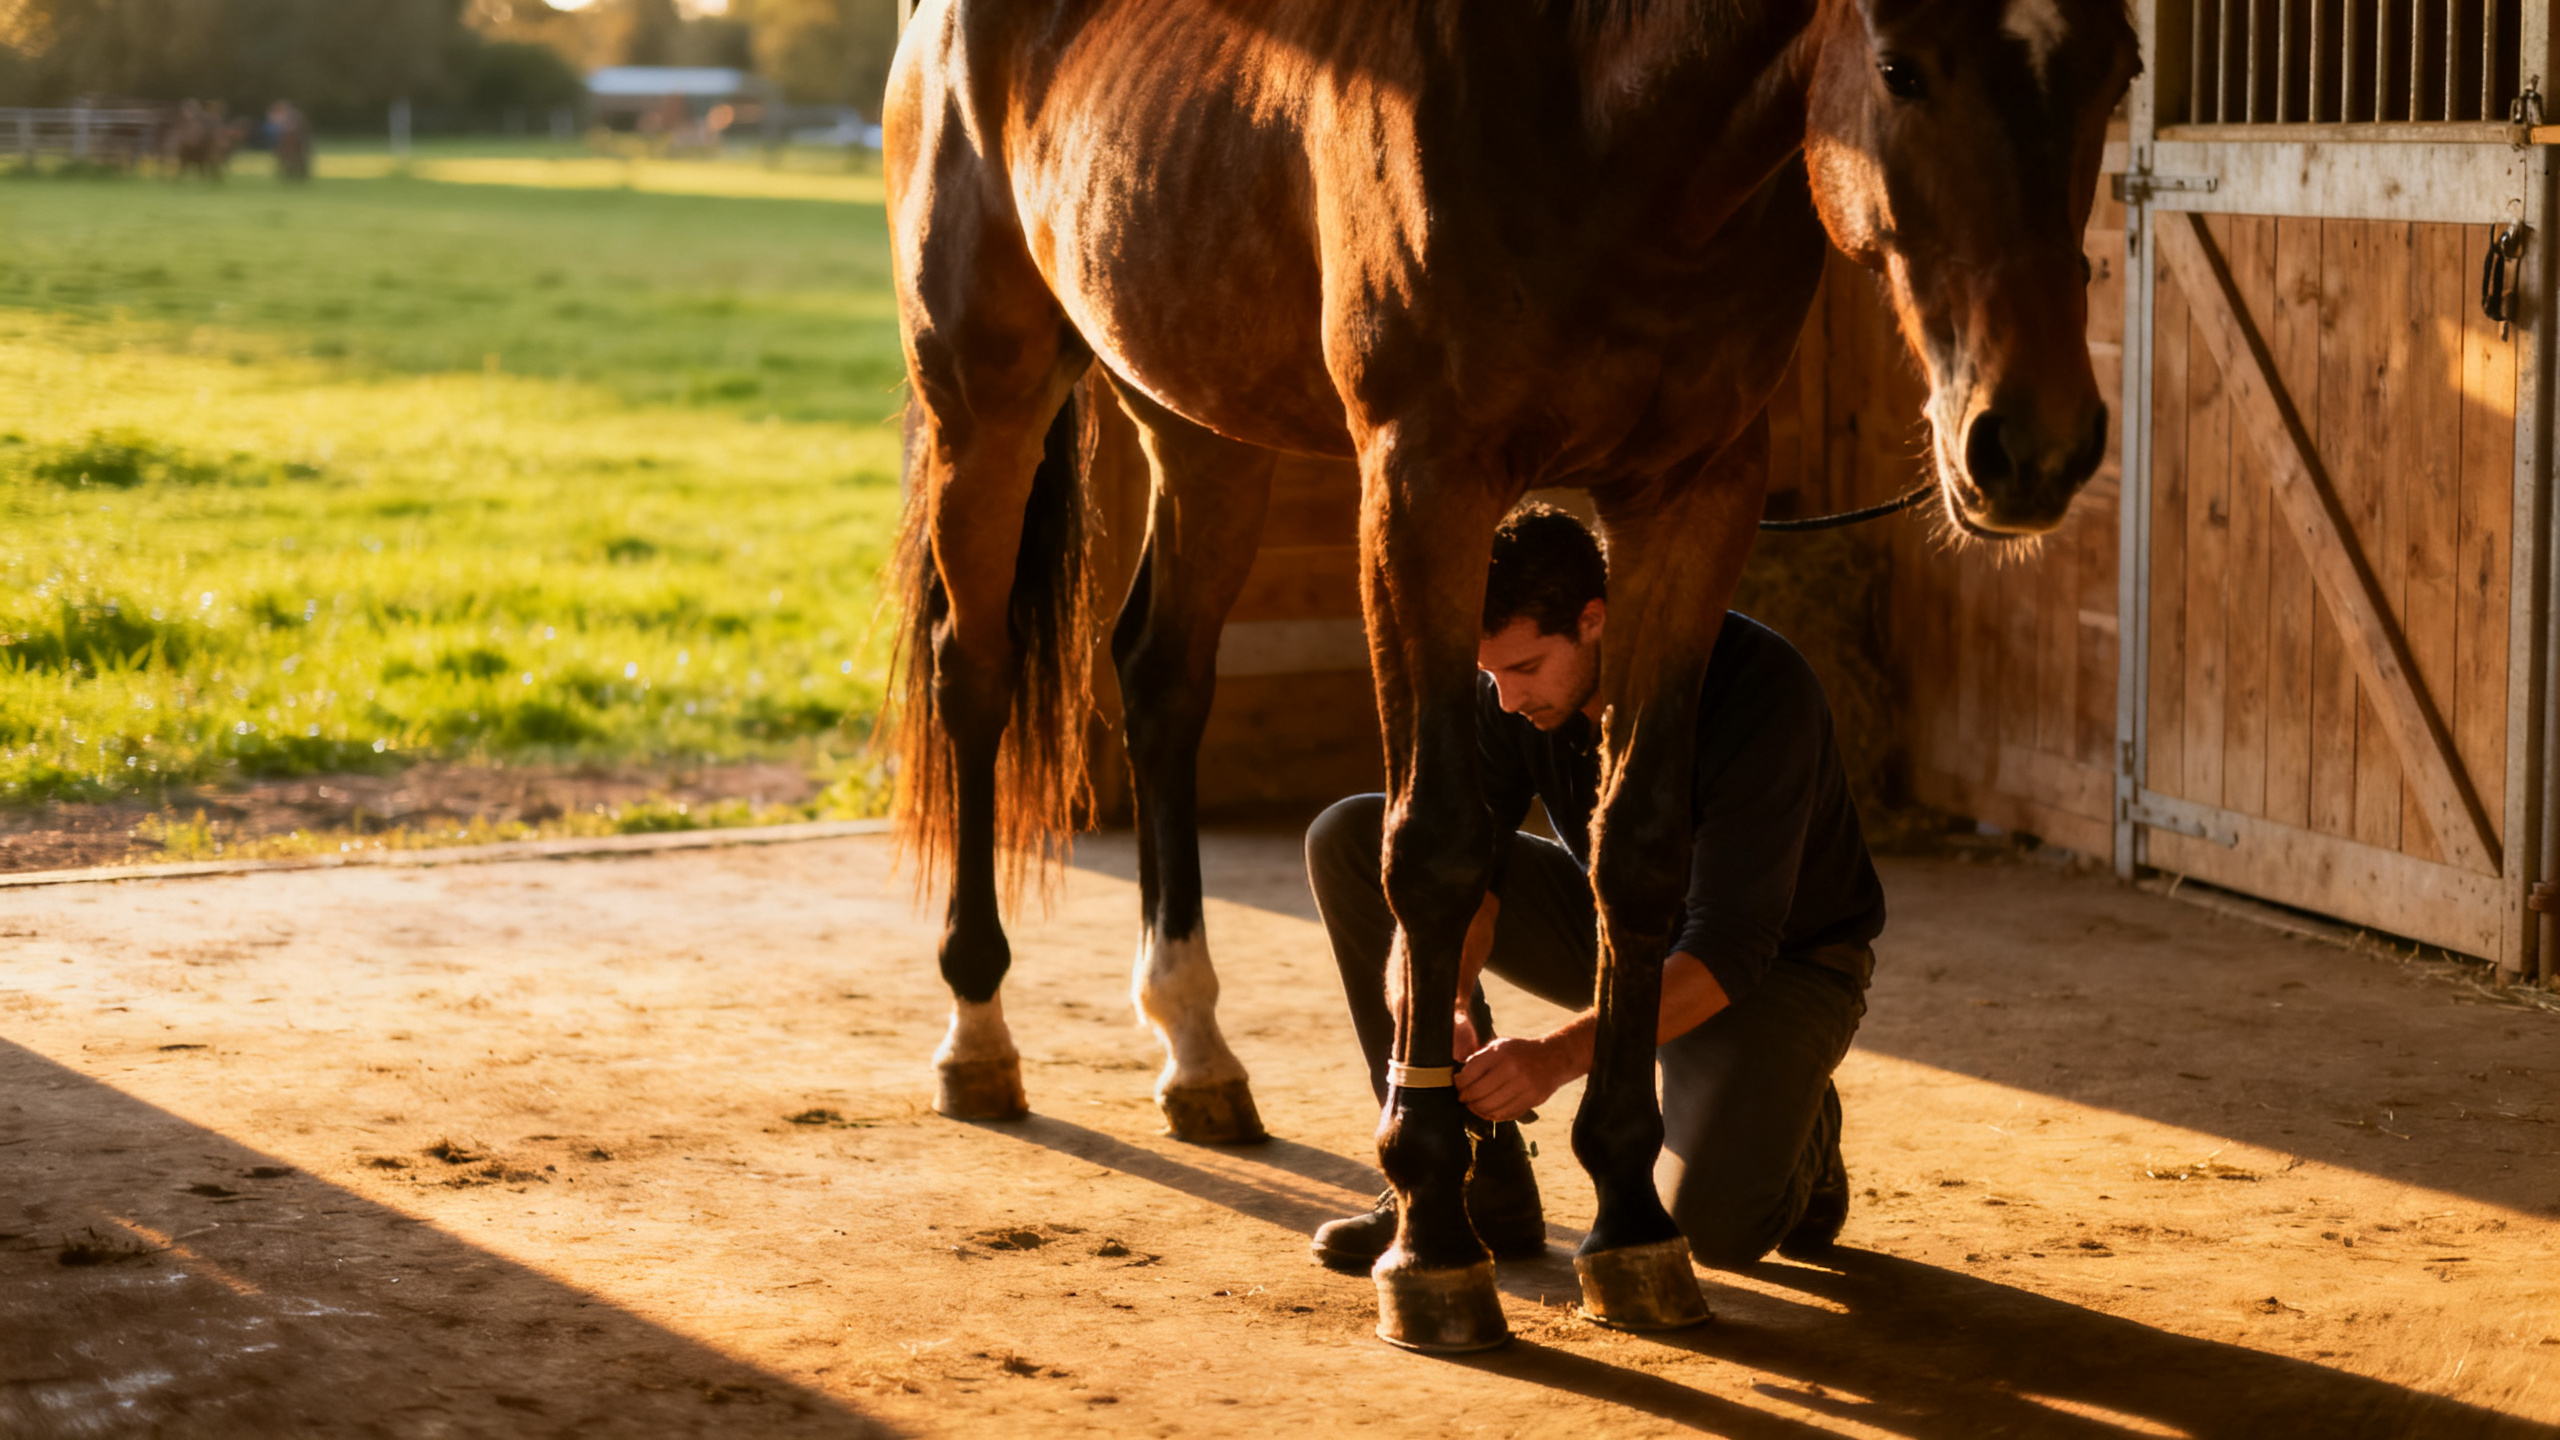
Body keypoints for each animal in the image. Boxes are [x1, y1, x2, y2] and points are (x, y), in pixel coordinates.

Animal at [882, 0, 2136, 1350]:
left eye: (2118, 71)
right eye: (1901, 68)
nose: (2034, 447)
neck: (1596, 119)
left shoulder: (1693, 497)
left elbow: (1640, 857)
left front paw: (1630, 1219)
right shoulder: (1422, 485)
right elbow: (1432, 853)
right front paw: (1435, 1240)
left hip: (1198, 423)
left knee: (1162, 681)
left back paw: (1198, 1051)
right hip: (985, 402)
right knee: (975, 676)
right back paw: (976, 1034)